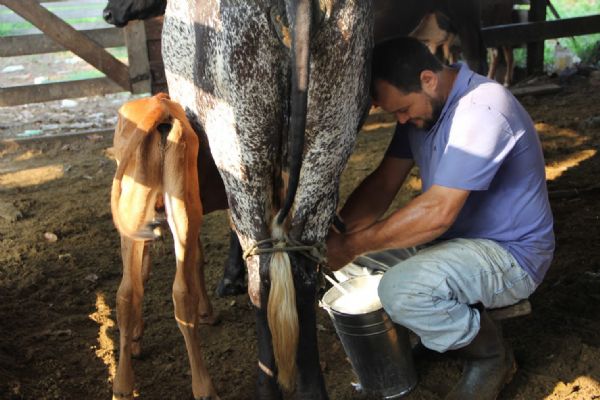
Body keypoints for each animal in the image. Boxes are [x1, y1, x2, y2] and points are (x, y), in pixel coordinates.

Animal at [109, 94, 218, 400]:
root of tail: (159, 103)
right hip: (182, 207)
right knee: (175, 291)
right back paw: (202, 387)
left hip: (137, 213)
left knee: (128, 292)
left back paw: (123, 385)